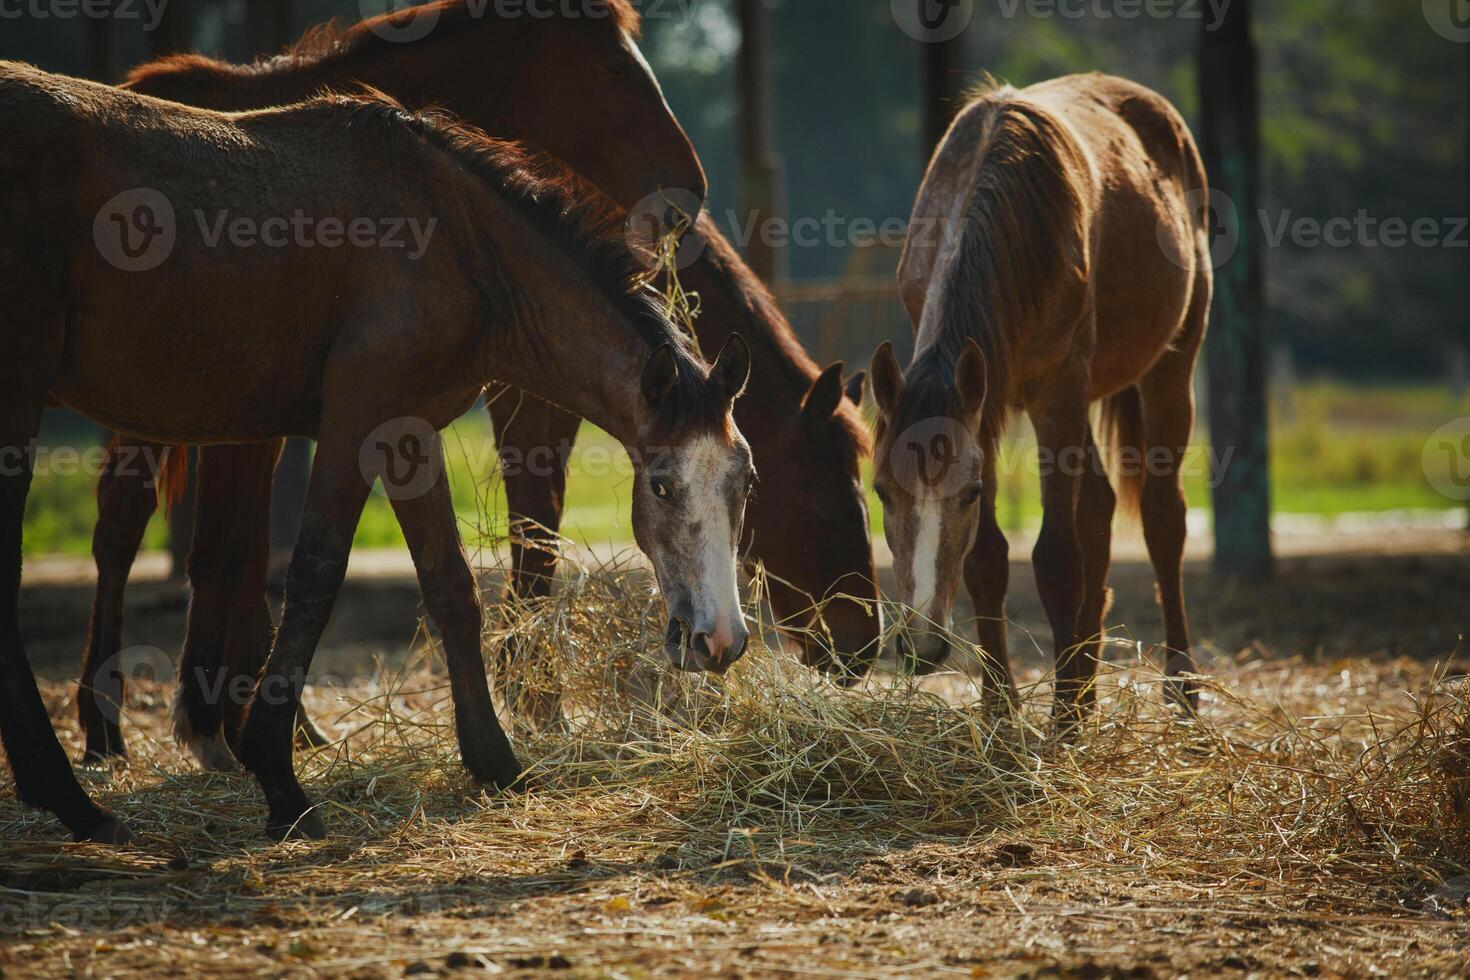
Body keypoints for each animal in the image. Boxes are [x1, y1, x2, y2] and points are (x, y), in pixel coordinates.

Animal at [0, 63, 752, 846]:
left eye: (746, 480)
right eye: (661, 486)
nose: (721, 641)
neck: (458, 239)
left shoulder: (407, 430)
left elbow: (451, 587)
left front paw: (495, 762)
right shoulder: (356, 421)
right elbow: (314, 576)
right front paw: (279, 778)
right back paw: (72, 795)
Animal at [870, 74, 1205, 719]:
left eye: (968, 494)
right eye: (880, 491)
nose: (923, 645)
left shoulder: (1057, 395)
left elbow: (1056, 558)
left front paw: (1061, 722)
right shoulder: (985, 403)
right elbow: (987, 557)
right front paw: (1000, 708)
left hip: (1169, 370)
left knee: (1162, 519)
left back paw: (1181, 690)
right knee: (1099, 508)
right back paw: (1085, 687)